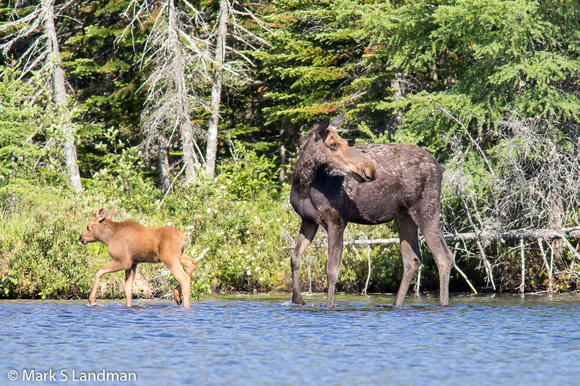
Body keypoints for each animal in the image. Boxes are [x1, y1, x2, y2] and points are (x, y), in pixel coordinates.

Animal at [288, 111, 454, 308]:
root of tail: (440, 168)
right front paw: (297, 300)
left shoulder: (336, 220)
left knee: (444, 256)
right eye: (333, 144)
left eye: (345, 141)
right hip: (404, 216)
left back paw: (443, 304)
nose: (370, 168)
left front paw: (329, 306)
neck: (303, 185)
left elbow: (332, 271)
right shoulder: (308, 221)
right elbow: (295, 258)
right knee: (412, 259)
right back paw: (397, 304)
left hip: (426, 210)